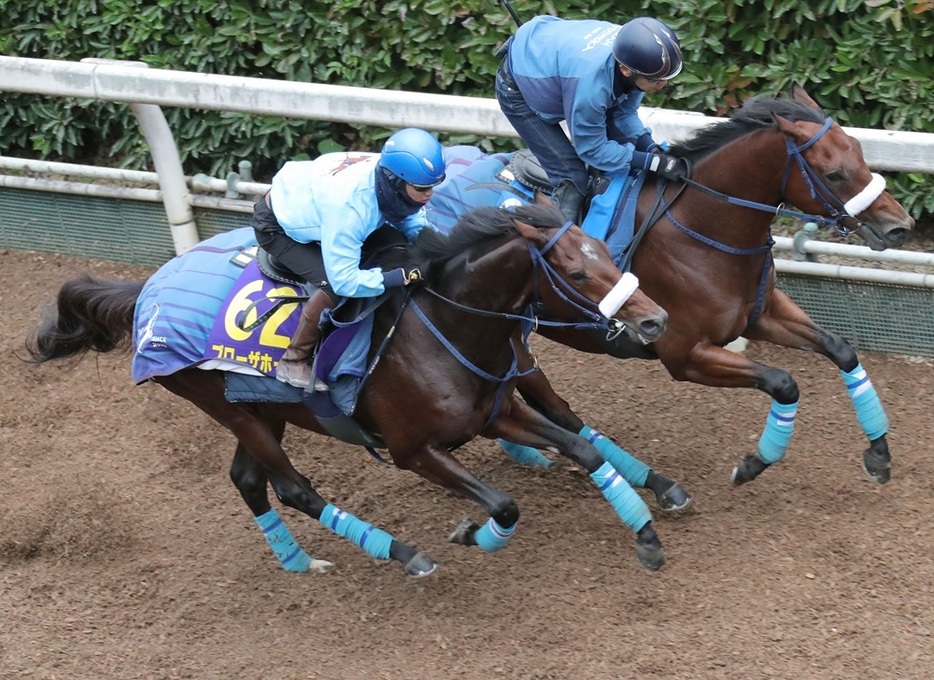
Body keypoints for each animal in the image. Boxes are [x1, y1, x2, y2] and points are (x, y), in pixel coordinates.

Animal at [29, 203, 672, 580]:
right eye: (580, 273)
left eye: (607, 252)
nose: (655, 321)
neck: (444, 329)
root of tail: (147, 292)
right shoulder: (413, 450)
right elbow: (504, 504)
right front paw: (471, 531)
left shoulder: (496, 412)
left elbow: (580, 445)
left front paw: (646, 533)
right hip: (226, 406)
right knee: (293, 488)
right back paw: (403, 554)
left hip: (257, 407)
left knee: (249, 481)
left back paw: (297, 561)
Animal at [436, 86, 916, 488]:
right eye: (833, 174)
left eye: (860, 151)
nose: (900, 226)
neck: (699, 230)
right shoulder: (686, 355)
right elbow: (783, 382)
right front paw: (753, 463)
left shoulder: (759, 314)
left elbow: (841, 349)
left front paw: (878, 453)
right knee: (548, 403)